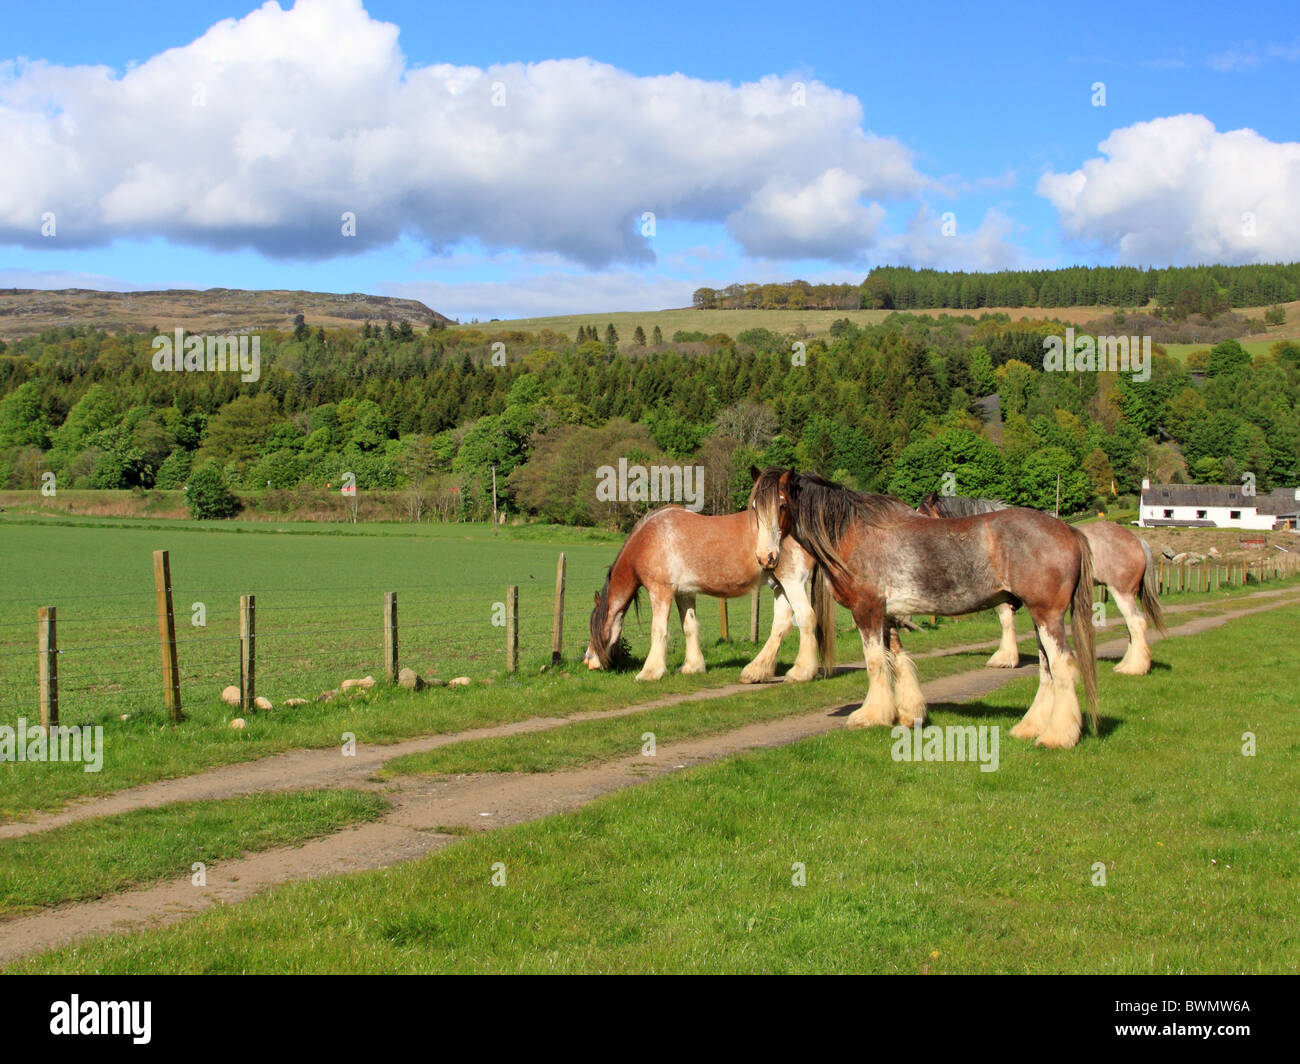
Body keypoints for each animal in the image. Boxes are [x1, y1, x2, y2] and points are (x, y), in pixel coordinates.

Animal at [587, 463, 837, 681]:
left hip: (792, 581)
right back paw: (756, 671)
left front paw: (650, 672)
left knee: (806, 617)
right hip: (780, 584)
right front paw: (692, 667)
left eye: (593, 627)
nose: (588, 661)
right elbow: (689, 627)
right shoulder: (684, 593)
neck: (648, 539)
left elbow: (658, 630)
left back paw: (800, 672)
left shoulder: (660, 591)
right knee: (782, 623)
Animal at [754, 468, 1097, 749]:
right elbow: (897, 661)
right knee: (1046, 669)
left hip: (1047, 616)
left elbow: (876, 663)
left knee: (1062, 667)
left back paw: (1057, 736)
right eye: (755, 508)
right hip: (1040, 618)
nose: (766, 558)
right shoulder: (888, 615)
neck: (853, 533)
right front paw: (908, 714)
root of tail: (1069, 530)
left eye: (781, 505)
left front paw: (871, 715)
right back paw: (1030, 728)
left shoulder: (867, 610)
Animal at [915, 491, 1170, 671]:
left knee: (1136, 623)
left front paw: (1005, 658)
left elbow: (1005, 621)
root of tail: (1137, 540)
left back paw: (1133, 667)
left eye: (921, 515)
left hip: (1121, 592)